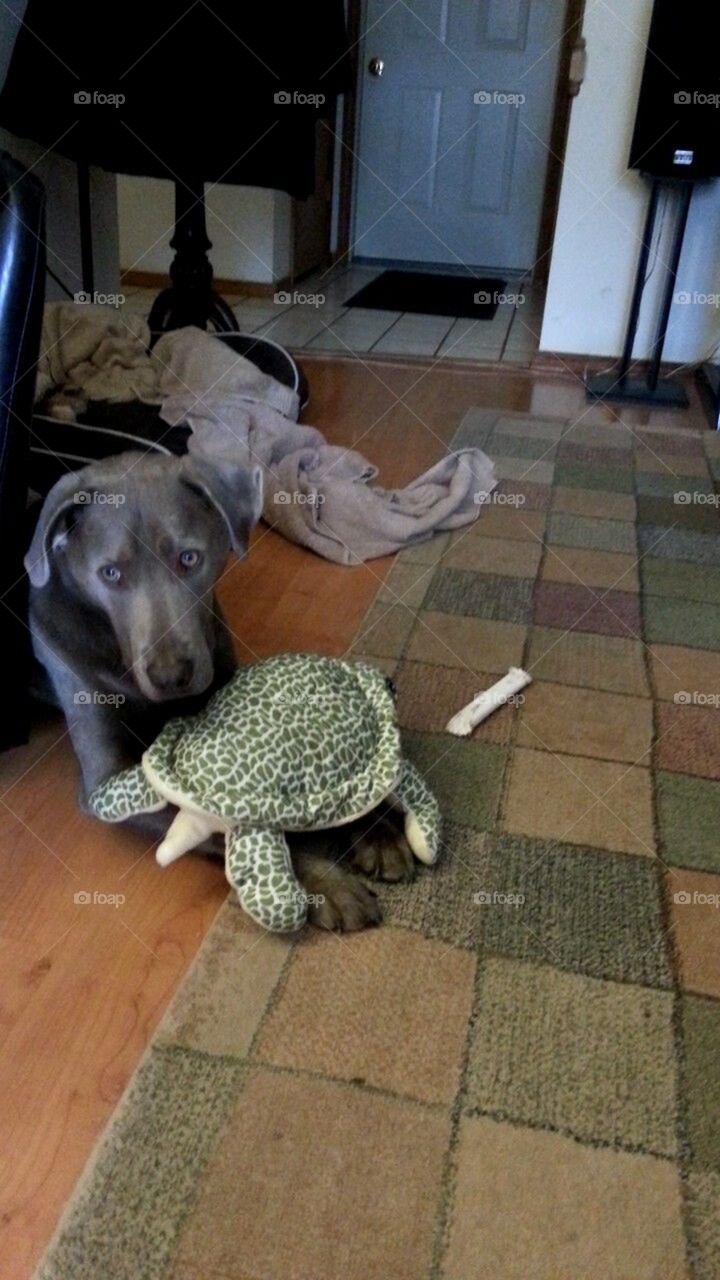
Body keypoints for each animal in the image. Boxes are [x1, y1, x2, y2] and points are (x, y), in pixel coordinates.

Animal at [25, 453, 412, 931]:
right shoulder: (106, 781)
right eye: (110, 573)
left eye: (189, 558)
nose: (170, 675)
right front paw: (329, 883)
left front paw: (375, 828)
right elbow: (229, 824)